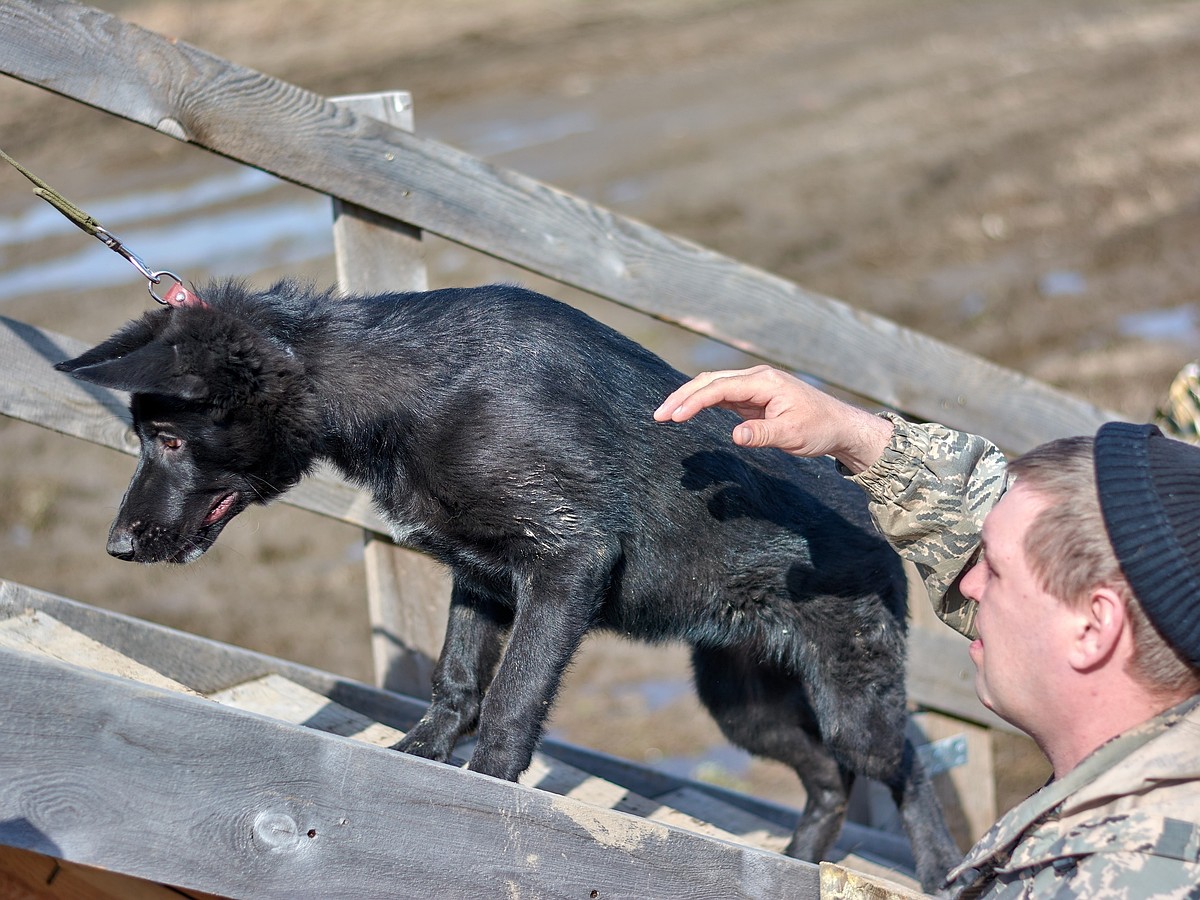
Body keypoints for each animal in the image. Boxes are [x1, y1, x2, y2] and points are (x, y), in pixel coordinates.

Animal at [56, 280, 960, 888]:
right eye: (144, 436)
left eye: (170, 440)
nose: (115, 546)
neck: (417, 388)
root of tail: (872, 513)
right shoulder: (482, 579)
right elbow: (454, 683)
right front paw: (415, 761)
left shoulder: (566, 566)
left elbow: (511, 698)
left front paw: (487, 796)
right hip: (745, 706)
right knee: (829, 783)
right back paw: (798, 864)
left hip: (850, 705)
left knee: (906, 766)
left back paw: (941, 867)